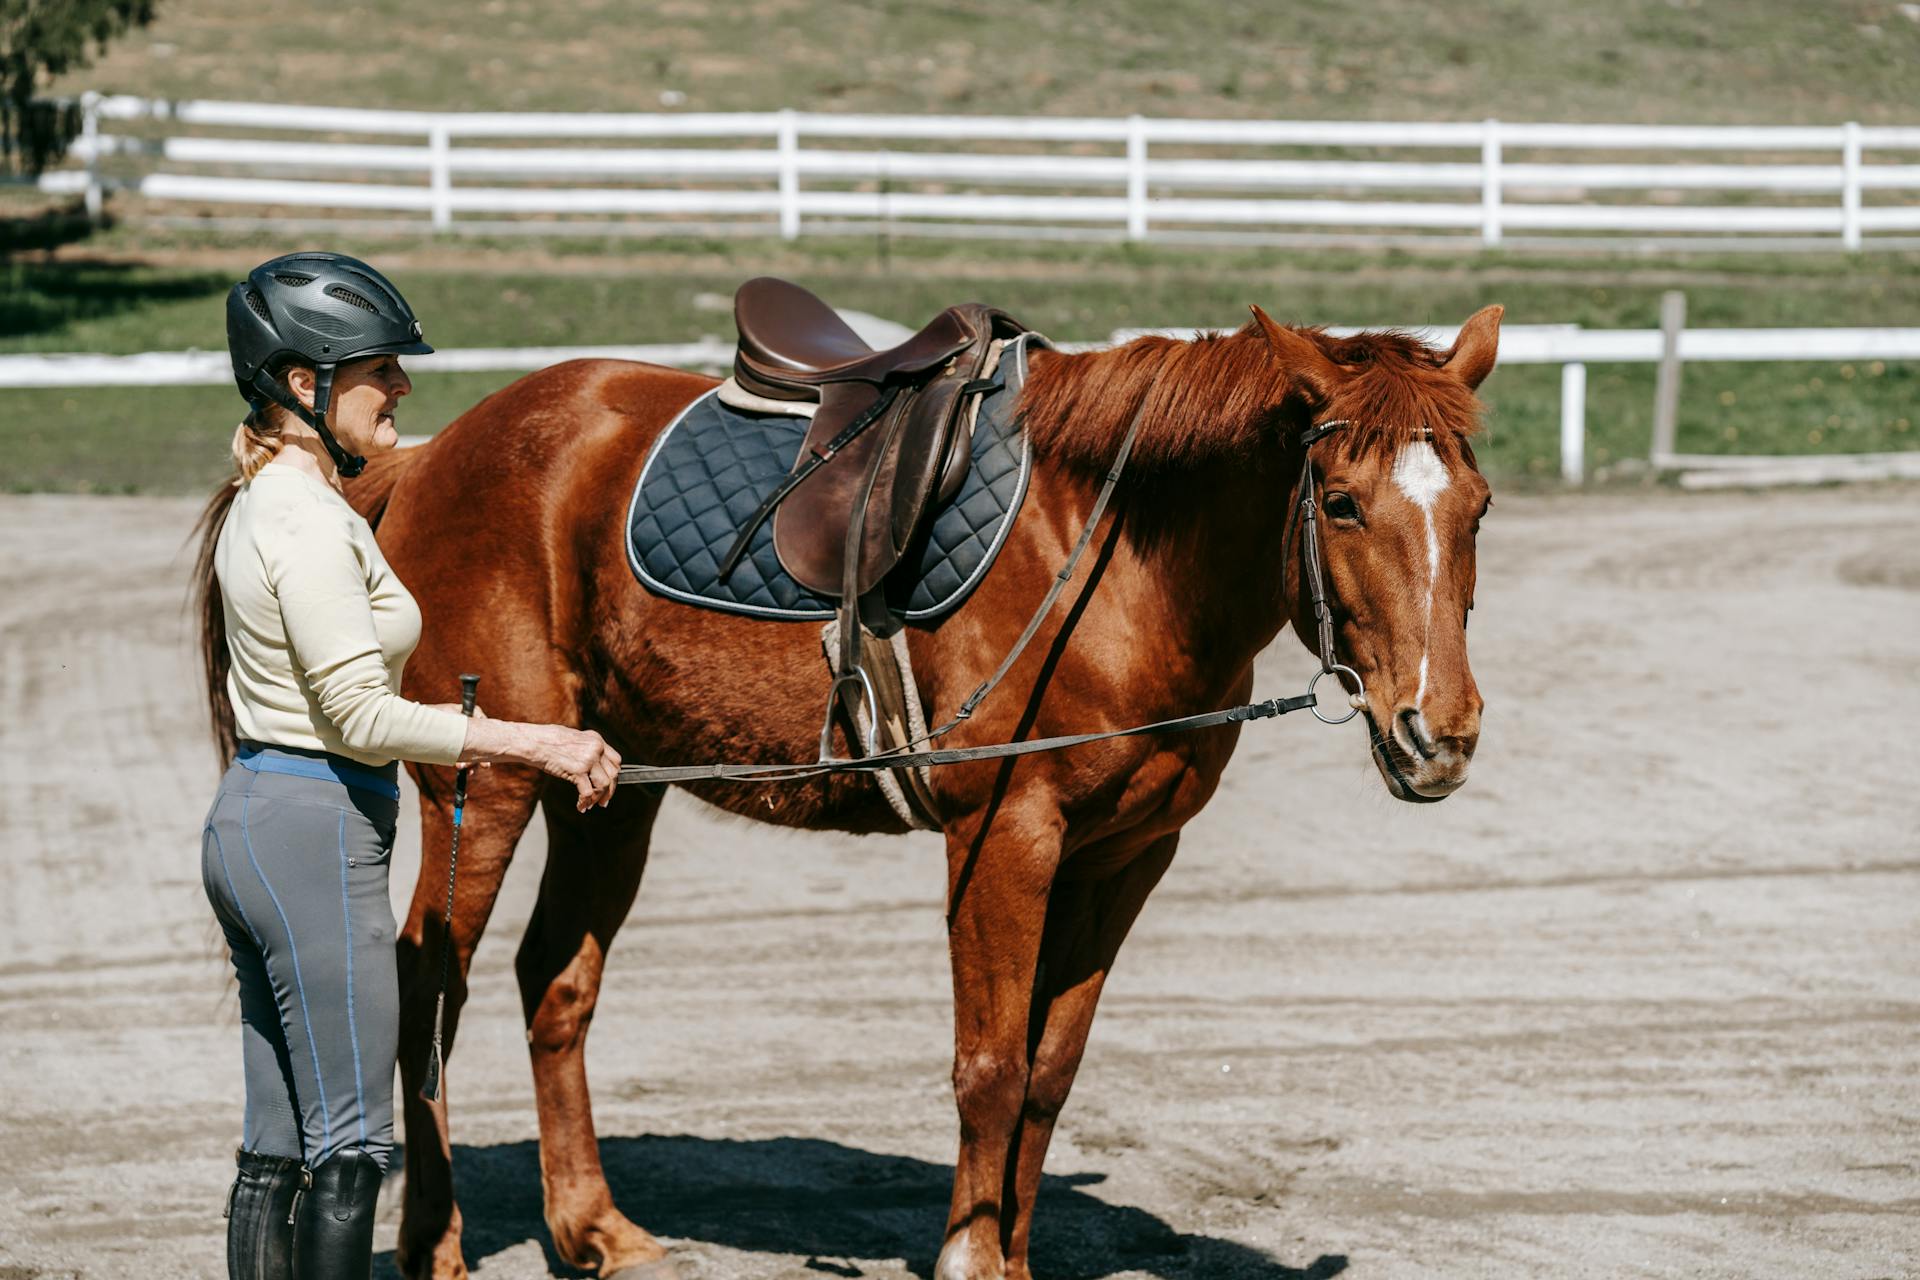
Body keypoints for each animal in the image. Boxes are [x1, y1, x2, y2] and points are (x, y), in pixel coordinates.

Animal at [353, 303, 1505, 1280]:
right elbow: (989, 1065)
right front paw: (970, 1259)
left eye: (1480, 508)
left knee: (555, 981)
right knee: (427, 983)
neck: (1111, 558)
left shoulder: (1126, 856)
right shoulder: (1005, 837)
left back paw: (595, 1228)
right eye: (1343, 504)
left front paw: (1014, 1256)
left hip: (611, 790)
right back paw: (436, 1243)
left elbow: (1050, 1068)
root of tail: (431, 455)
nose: (1437, 733)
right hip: (481, 784)